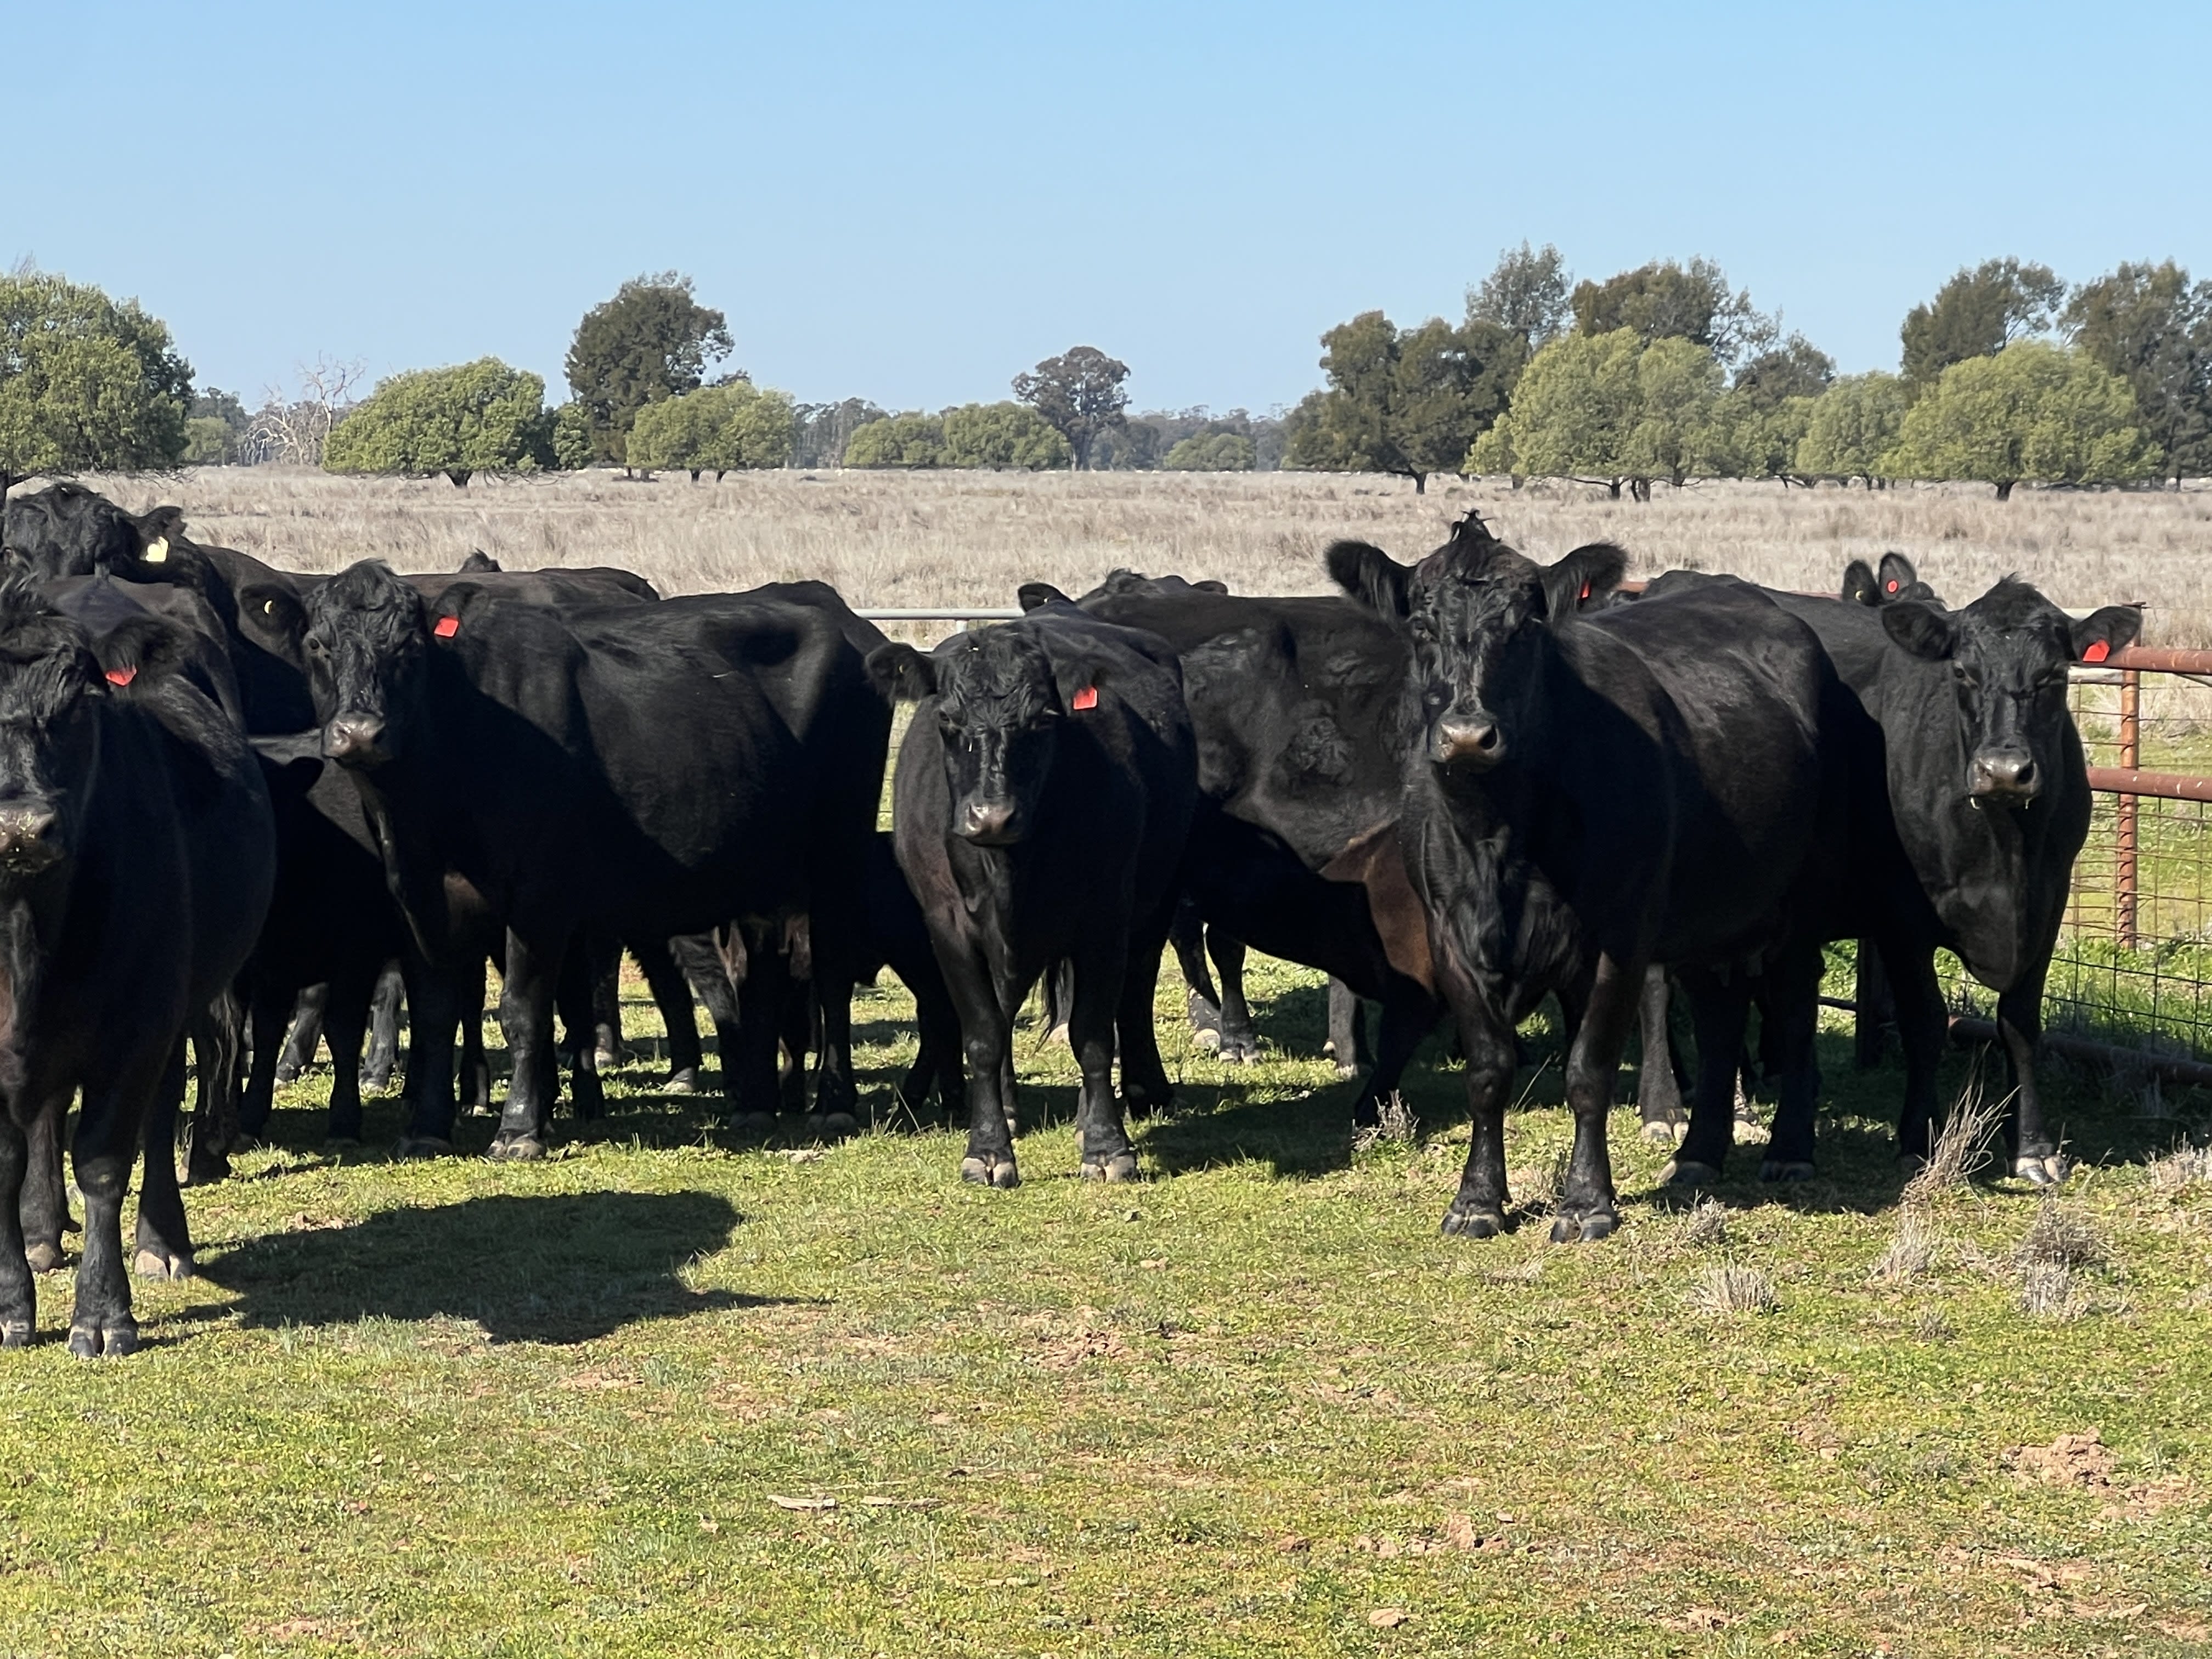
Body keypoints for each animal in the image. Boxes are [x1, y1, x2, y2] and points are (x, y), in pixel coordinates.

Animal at [0, 579, 275, 1356]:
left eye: (76, 707)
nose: (21, 830)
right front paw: (11, 1305)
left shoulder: (134, 1031)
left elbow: (102, 1161)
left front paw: (102, 1314)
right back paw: (40, 1231)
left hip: (175, 1006)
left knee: (159, 1113)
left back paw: (162, 1242)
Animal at [250, 562, 890, 1156]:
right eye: (318, 645)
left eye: (407, 648)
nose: (360, 733)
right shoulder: (419, 897)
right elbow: (434, 1012)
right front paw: (428, 1127)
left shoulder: (541, 896)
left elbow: (521, 1010)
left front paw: (519, 1129)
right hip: (761, 871)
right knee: (761, 974)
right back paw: (757, 1103)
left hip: (838, 849)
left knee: (829, 972)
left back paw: (833, 1101)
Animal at [869, 605, 1198, 1187]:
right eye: (947, 721)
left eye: (1043, 719)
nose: (991, 817)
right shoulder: (947, 927)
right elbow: (984, 1034)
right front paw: (988, 1149)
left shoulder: (1105, 921)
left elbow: (1093, 1035)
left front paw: (1107, 1147)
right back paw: (1007, 1109)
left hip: (1156, 901)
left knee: (1135, 993)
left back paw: (1135, 1094)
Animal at [1331, 516, 1854, 1241]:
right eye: (1419, 626)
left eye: (1526, 627)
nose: (1467, 735)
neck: (1503, 836)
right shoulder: (1449, 932)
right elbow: (1488, 1068)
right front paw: (1477, 1200)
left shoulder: (1621, 936)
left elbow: (1589, 1068)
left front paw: (1586, 1203)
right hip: (1711, 912)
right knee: (1720, 1015)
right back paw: (1700, 1154)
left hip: (1800, 897)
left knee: (1796, 1004)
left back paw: (1790, 1150)